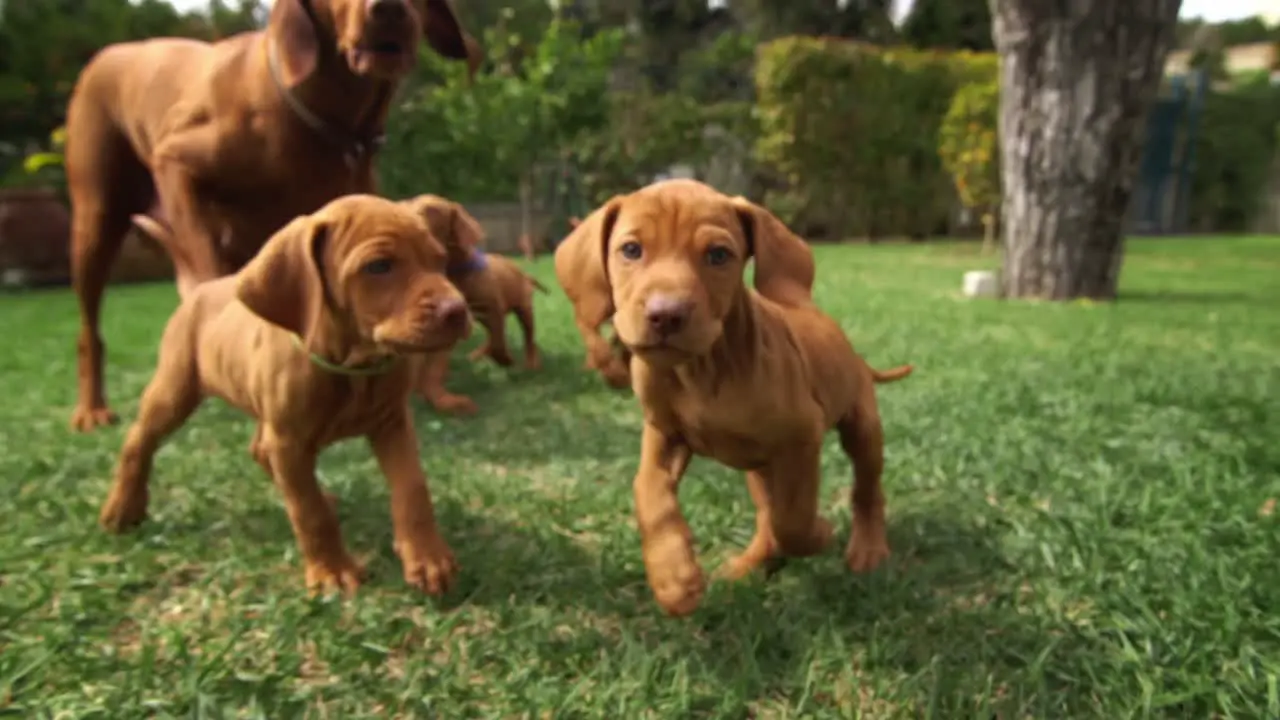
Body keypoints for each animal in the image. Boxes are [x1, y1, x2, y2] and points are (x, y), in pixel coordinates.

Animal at [62, 0, 481, 427]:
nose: (389, 9)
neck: (322, 117)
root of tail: (109, 52)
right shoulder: (175, 162)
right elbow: (207, 263)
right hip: (95, 222)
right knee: (89, 329)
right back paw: (92, 408)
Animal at [97, 193, 473, 591]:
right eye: (379, 266)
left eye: (440, 260)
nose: (457, 310)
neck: (352, 365)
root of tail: (204, 286)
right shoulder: (290, 442)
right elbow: (309, 511)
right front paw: (331, 571)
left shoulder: (392, 424)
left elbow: (412, 488)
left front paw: (428, 557)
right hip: (174, 391)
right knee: (139, 441)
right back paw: (122, 508)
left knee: (261, 450)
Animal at [401, 193, 547, 415]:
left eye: (431, 209)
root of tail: (523, 273)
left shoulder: (493, 308)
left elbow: (498, 343)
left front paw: (506, 360)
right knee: (491, 336)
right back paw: (478, 354)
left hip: (524, 309)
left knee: (528, 337)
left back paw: (531, 363)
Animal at [560, 176, 911, 614]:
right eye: (631, 250)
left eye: (718, 255)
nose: (665, 315)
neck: (703, 369)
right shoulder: (663, 434)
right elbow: (649, 495)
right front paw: (674, 579)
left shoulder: (802, 437)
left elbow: (794, 518)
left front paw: (819, 533)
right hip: (759, 467)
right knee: (766, 512)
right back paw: (753, 562)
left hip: (860, 428)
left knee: (865, 490)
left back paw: (867, 548)